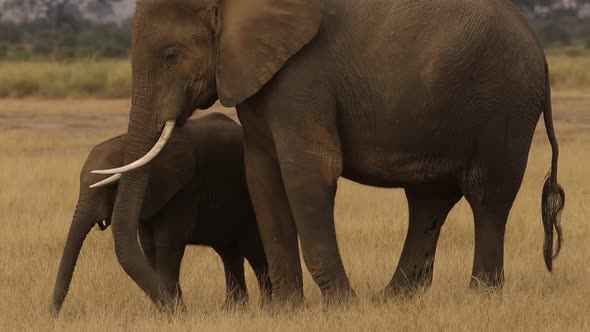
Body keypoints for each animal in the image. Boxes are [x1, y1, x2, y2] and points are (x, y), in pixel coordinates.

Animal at [51, 113, 272, 316]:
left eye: (110, 187)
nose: (52, 315)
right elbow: (149, 247)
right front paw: (167, 312)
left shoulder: (184, 191)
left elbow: (168, 245)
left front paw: (176, 313)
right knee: (229, 252)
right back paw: (232, 310)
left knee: (255, 253)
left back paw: (265, 308)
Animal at [95, 0, 568, 306]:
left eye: (171, 55)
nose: (176, 305)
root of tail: (543, 54)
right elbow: (262, 177)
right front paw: (285, 310)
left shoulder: (303, 76)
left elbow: (308, 172)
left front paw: (340, 305)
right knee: (429, 200)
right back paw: (392, 300)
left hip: (503, 103)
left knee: (487, 197)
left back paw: (480, 297)